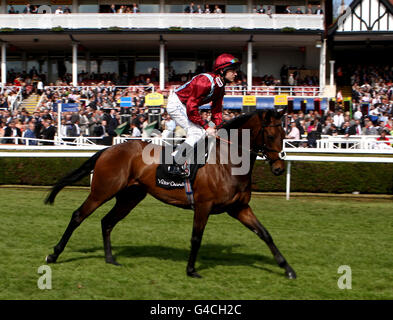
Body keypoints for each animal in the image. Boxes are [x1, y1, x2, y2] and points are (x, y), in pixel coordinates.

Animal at [44, 109, 296, 278]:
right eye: (271, 135)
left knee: (107, 222)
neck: (227, 161)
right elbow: (196, 238)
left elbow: (265, 234)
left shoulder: (239, 208)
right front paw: (191, 269)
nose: (278, 168)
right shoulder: (203, 205)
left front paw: (287, 268)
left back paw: (110, 258)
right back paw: (54, 254)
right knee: (78, 215)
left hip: (130, 197)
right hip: (102, 191)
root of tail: (109, 148)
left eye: (284, 134)